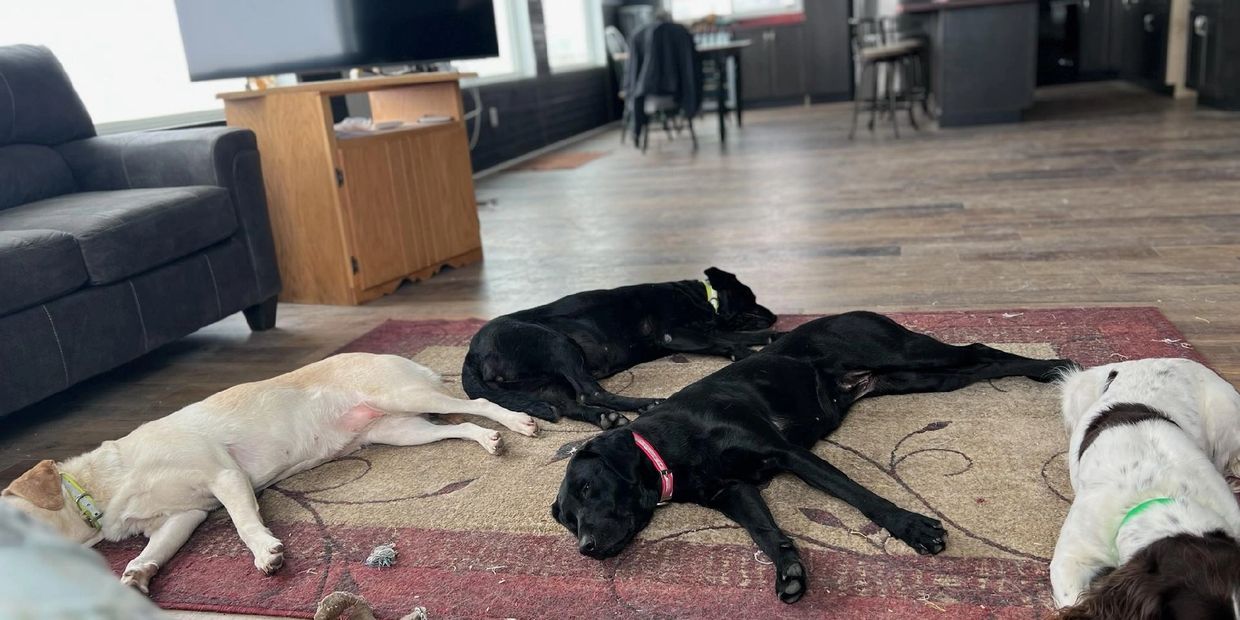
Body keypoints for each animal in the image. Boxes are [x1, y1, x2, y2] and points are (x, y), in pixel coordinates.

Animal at [3, 352, 538, 592]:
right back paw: (488, 440)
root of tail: (403, 359)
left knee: (477, 404)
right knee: (460, 426)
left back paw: (515, 423)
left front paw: (267, 553)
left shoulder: (224, 476)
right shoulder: (182, 519)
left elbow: (244, 525)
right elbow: (153, 552)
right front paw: (135, 575)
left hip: (404, 396)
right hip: (401, 430)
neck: (101, 488)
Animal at [461, 269, 778, 429]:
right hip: (559, 345)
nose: (775, 315)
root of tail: (472, 353)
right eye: (751, 298)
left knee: (571, 405)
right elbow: (728, 341)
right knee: (591, 393)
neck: (701, 298)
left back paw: (608, 417)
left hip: (545, 385)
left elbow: (740, 335)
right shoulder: (674, 334)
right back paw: (648, 403)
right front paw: (748, 353)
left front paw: (774, 336)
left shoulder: (704, 329)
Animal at [553, 312, 1076, 602]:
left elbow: (858, 495)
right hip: (922, 378)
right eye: (567, 520)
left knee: (977, 347)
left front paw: (911, 527)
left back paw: (1054, 365)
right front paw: (788, 572)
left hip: (909, 355)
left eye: (588, 487)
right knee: (982, 364)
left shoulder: (787, 452)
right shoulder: (736, 492)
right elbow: (766, 532)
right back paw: (1044, 370)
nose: (586, 549)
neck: (667, 448)